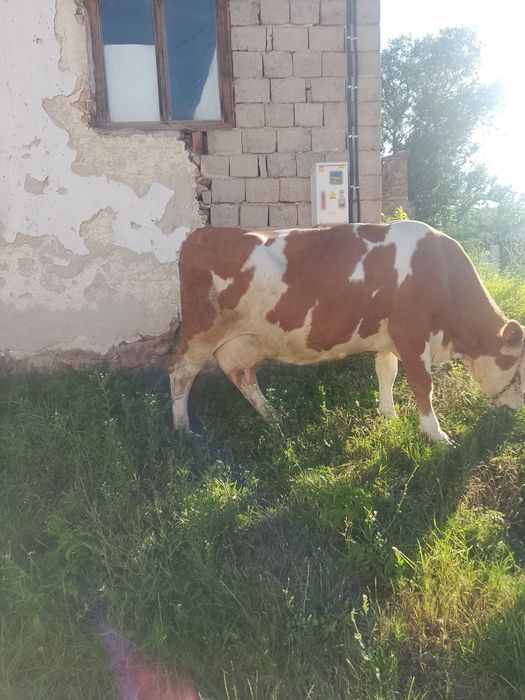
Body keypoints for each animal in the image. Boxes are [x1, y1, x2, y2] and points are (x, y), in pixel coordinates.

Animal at [167, 221, 525, 443]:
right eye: (520, 369)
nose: (517, 412)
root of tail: (198, 235)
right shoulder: (412, 333)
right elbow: (423, 385)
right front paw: (436, 434)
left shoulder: (389, 337)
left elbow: (386, 372)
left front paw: (388, 414)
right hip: (201, 332)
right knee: (181, 373)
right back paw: (183, 430)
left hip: (242, 341)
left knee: (242, 376)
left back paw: (273, 418)